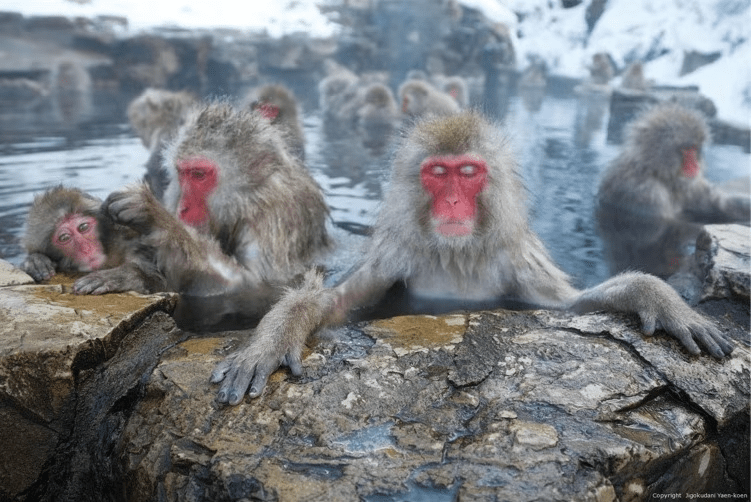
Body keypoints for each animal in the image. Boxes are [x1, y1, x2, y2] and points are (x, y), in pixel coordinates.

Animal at [105, 101, 330, 321]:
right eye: (183, 173)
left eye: (199, 175)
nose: (182, 208)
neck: (246, 199)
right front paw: (138, 273)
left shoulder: (274, 219)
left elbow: (250, 285)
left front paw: (156, 217)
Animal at [211, 111, 733, 405]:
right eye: (438, 173)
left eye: (468, 172)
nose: (453, 203)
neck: (457, 253)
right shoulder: (396, 253)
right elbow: (334, 304)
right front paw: (272, 339)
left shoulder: (517, 258)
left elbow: (568, 305)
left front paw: (657, 297)